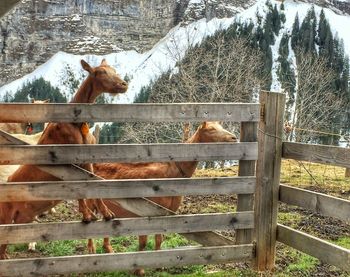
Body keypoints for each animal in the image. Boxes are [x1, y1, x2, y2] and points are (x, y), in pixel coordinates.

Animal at [0, 58, 129, 258]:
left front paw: (104, 213)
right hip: (4, 216)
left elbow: (93, 183)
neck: (75, 122)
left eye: (114, 70)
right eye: (99, 72)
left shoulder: (88, 158)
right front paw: (88, 215)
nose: (123, 84)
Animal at [87, 121, 237, 274]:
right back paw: (91, 253)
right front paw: (139, 270)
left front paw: (159, 265)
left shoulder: (165, 213)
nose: (233, 138)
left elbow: (159, 238)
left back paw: (108, 251)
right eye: (211, 129)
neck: (171, 173)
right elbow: (143, 242)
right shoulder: (145, 212)